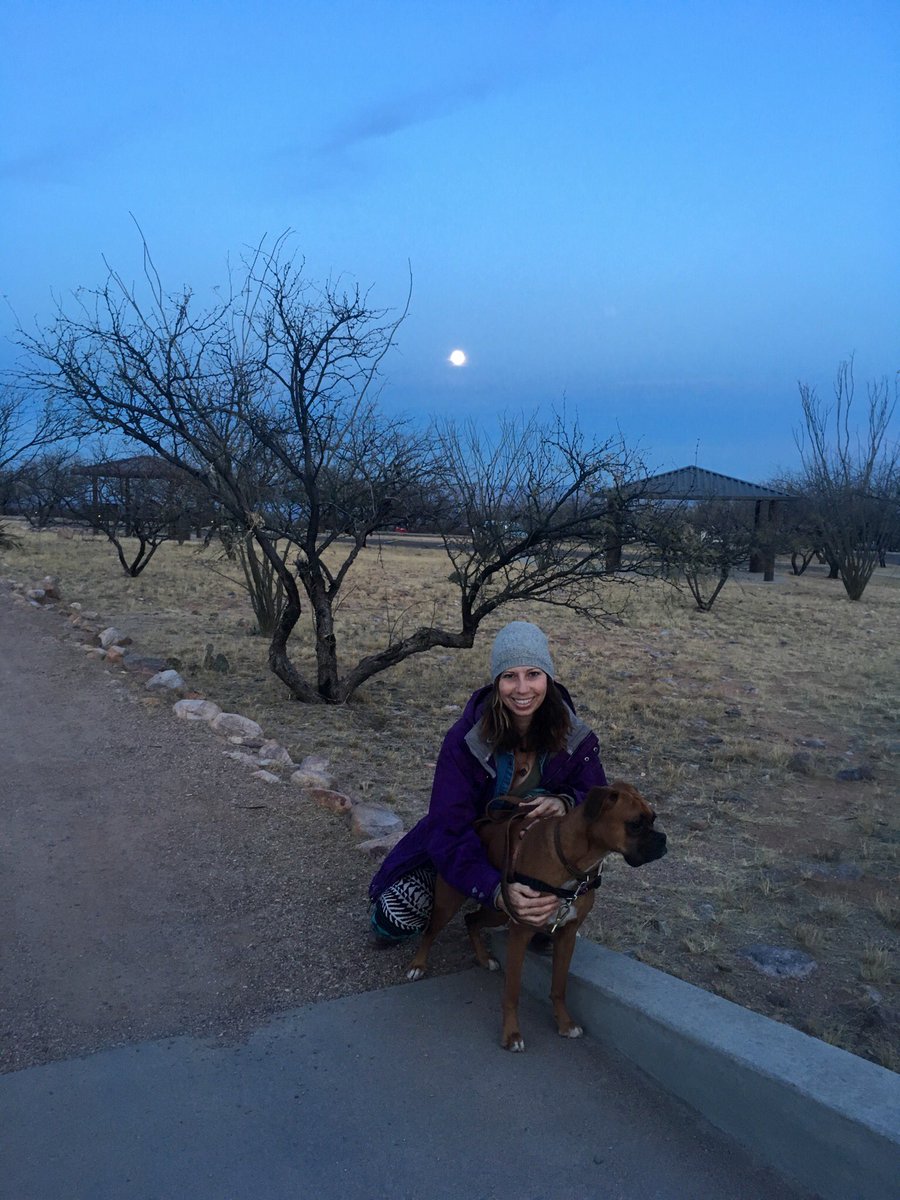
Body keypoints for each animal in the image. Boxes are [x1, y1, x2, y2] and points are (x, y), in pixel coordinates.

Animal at [405, 777, 667, 1051]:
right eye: (635, 824)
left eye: (654, 818)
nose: (663, 840)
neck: (570, 861)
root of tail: (478, 824)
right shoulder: (520, 933)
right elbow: (512, 992)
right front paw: (511, 1034)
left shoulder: (566, 935)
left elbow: (559, 986)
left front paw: (565, 1023)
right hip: (451, 900)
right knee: (431, 931)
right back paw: (418, 965)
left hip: (500, 909)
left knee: (471, 920)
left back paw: (484, 958)